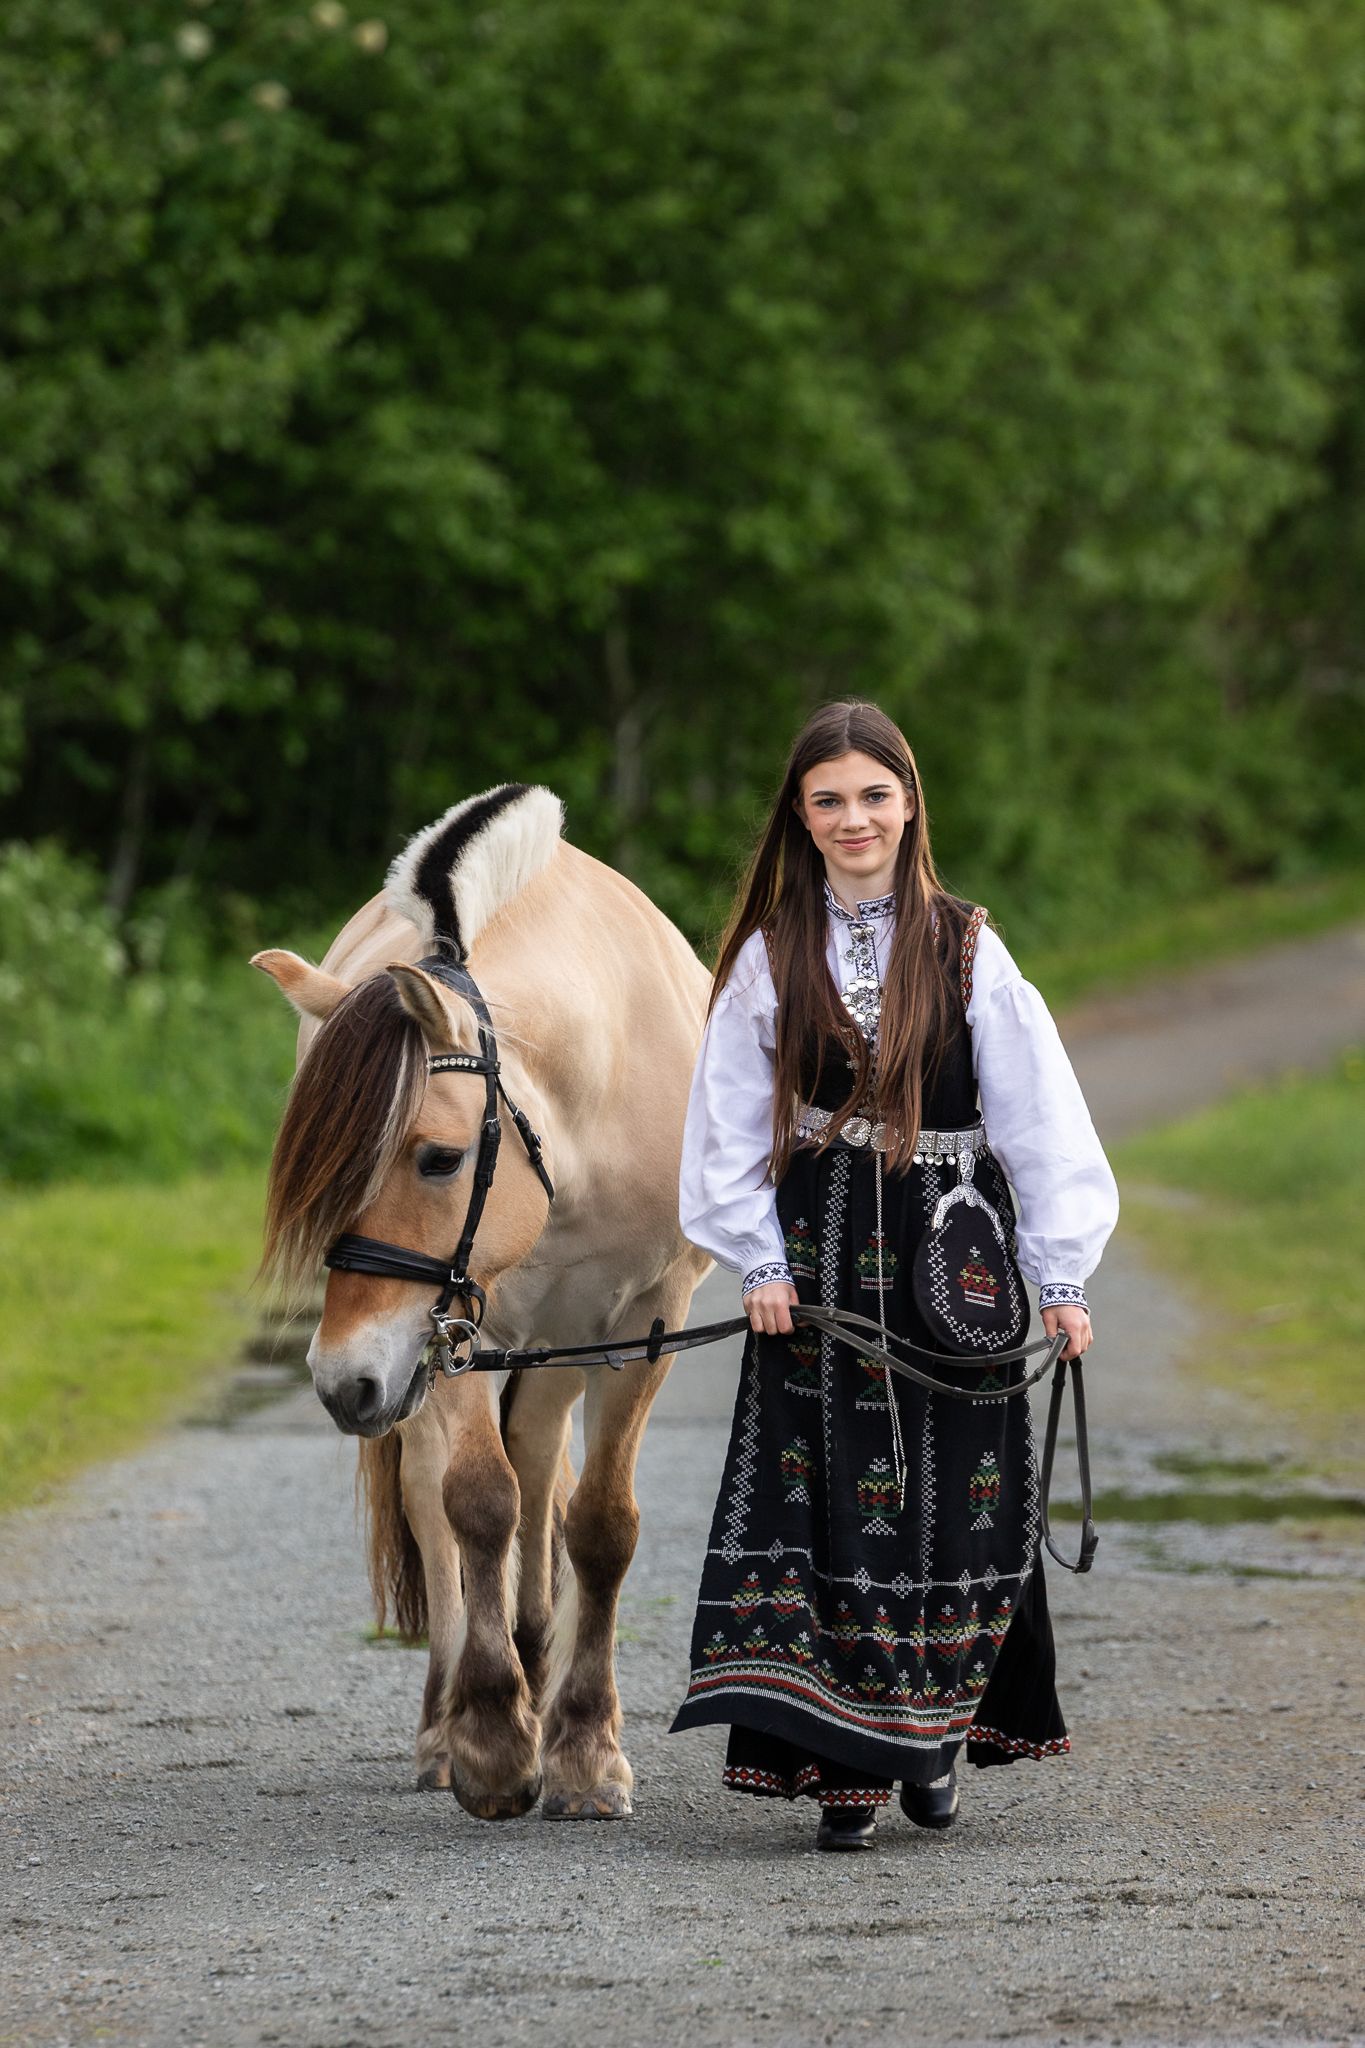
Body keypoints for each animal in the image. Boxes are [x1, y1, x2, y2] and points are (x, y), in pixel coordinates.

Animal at [252, 784, 712, 1819]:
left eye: (438, 1158)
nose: (341, 1382)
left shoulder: (645, 1321)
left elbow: (598, 1523)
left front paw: (584, 1752)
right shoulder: (455, 1324)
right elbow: (475, 1503)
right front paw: (496, 1741)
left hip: (548, 1348)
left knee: (543, 1462)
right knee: (444, 1497)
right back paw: (450, 1720)